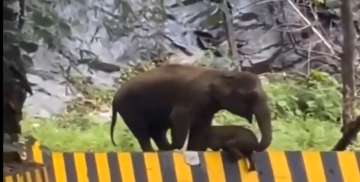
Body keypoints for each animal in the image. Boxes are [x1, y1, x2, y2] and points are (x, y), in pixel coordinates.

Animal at [111, 64, 272, 152]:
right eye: (251, 96)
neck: (220, 73)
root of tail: (115, 97)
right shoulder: (192, 97)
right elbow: (177, 117)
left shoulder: (207, 107)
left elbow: (200, 129)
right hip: (129, 110)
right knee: (143, 133)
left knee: (157, 131)